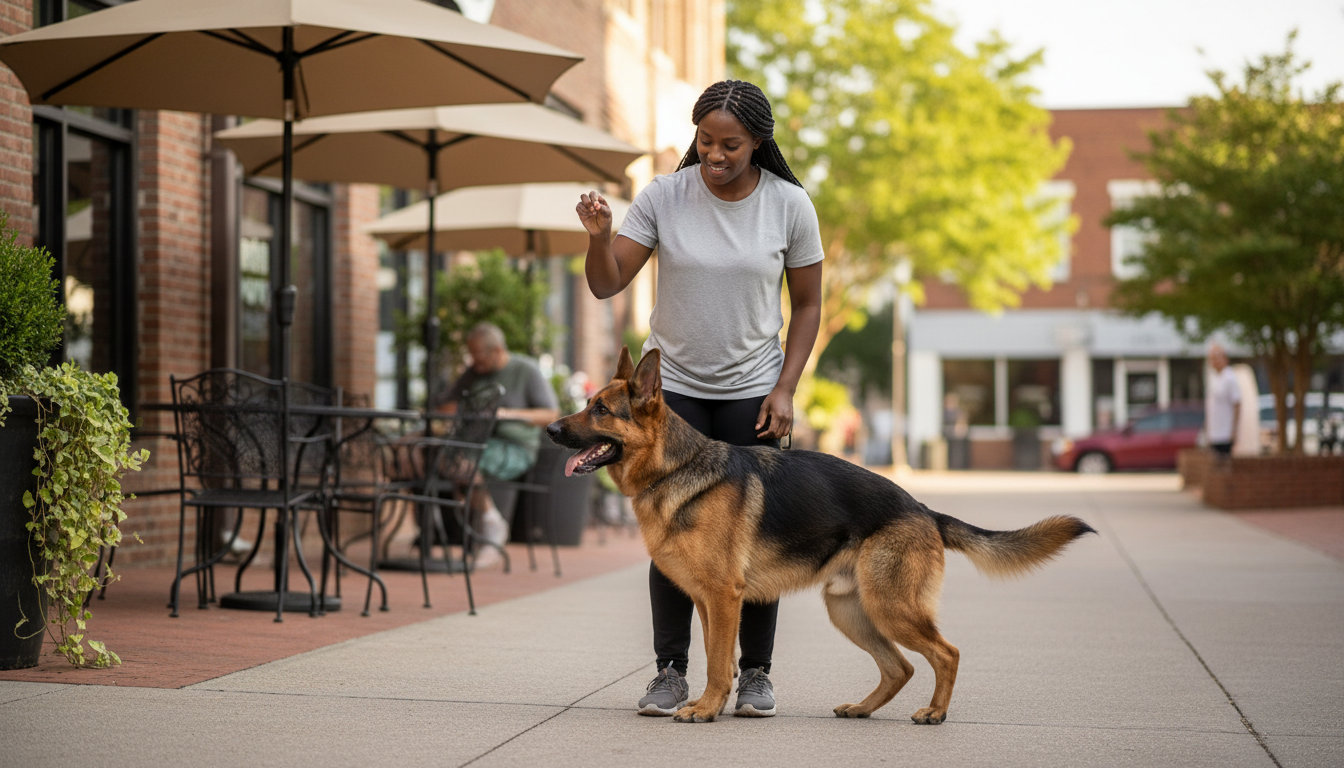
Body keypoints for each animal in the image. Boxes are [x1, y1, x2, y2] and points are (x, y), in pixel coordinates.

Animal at [547, 347, 1095, 723]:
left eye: (601, 410)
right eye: (587, 404)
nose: (551, 430)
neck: (677, 469)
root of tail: (923, 509)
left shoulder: (724, 598)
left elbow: (721, 662)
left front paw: (705, 710)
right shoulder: (707, 602)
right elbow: (713, 658)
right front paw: (706, 703)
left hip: (889, 607)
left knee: (946, 653)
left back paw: (935, 713)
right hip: (851, 611)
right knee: (900, 667)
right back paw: (863, 709)